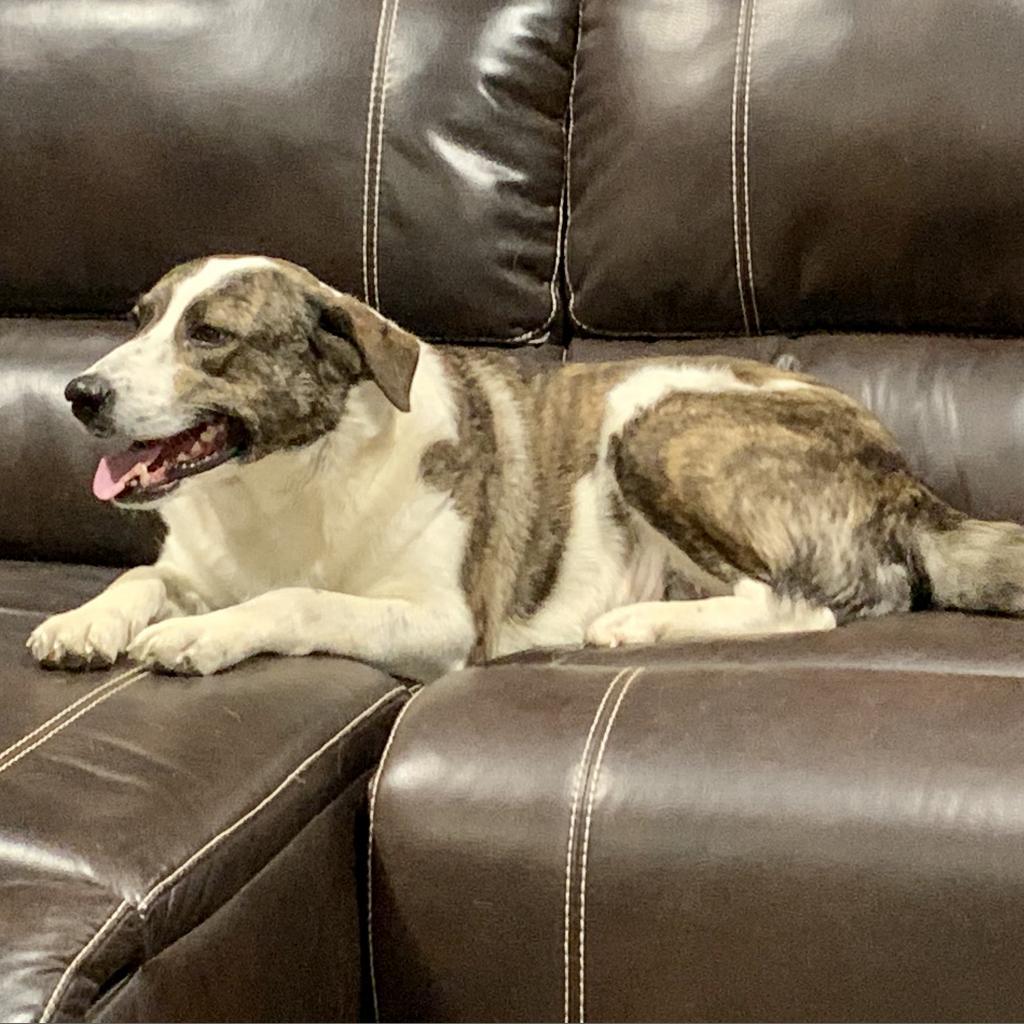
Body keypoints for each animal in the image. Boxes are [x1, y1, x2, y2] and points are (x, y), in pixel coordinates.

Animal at [22, 253, 1024, 679]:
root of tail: (910, 485)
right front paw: (84, 620)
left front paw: (202, 637)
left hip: (652, 419)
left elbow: (294, 601)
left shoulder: (438, 621)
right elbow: (144, 580)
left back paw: (634, 626)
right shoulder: (195, 563)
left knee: (805, 603)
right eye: (139, 319)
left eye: (211, 336)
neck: (282, 485)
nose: (78, 393)